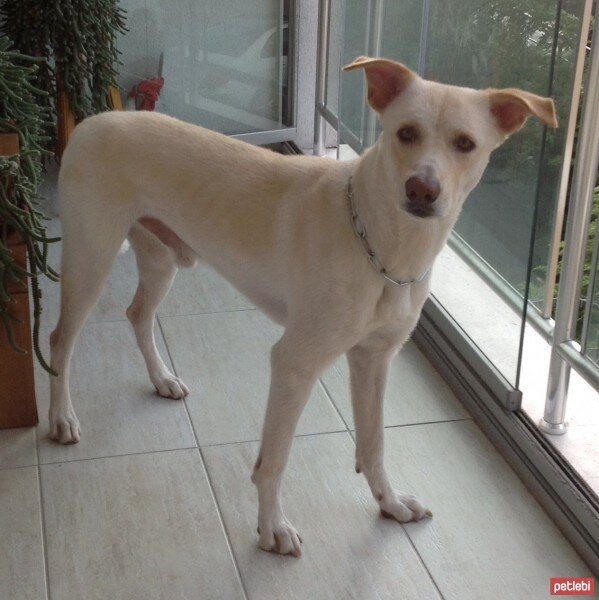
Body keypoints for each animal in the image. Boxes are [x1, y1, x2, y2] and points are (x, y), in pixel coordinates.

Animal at [48, 57, 556, 556]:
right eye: (406, 132)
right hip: (91, 260)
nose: (422, 190)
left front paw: (390, 504)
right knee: (60, 339)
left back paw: (161, 379)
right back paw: (61, 417)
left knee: (138, 314)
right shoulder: (294, 363)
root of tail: (94, 121)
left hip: (161, 260)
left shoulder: (374, 360)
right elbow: (274, 459)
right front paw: (272, 527)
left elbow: (374, 444)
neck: (384, 248)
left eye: (465, 143)